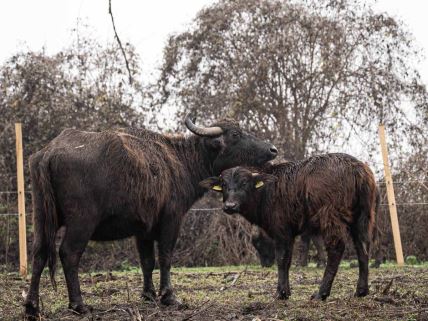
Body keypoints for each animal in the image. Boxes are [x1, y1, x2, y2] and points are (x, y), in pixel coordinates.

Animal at [24, 113, 278, 318]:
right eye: (236, 134)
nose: (272, 150)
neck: (179, 161)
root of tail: (49, 153)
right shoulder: (171, 219)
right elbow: (165, 257)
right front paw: (168, 296)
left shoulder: (142, 228)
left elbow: (147, 261)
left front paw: (148, 294)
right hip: (81, 221)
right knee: (69, 253)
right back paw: (78, 304)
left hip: (42, 216)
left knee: (39, 253)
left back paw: (31, 306)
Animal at [201, 152, 378, 300]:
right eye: (224, 184)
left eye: (244, 183)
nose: (230, 206)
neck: (266, 190)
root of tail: (356, 168)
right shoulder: (290, 233)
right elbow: (288, 260)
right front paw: (286, 291)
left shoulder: (282, 231)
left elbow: (282, 259)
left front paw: (281, 293)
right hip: (363, 217)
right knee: (363, 247)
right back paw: (361, 290)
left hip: (331, 217)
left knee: (336, 249)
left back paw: (321, 293)